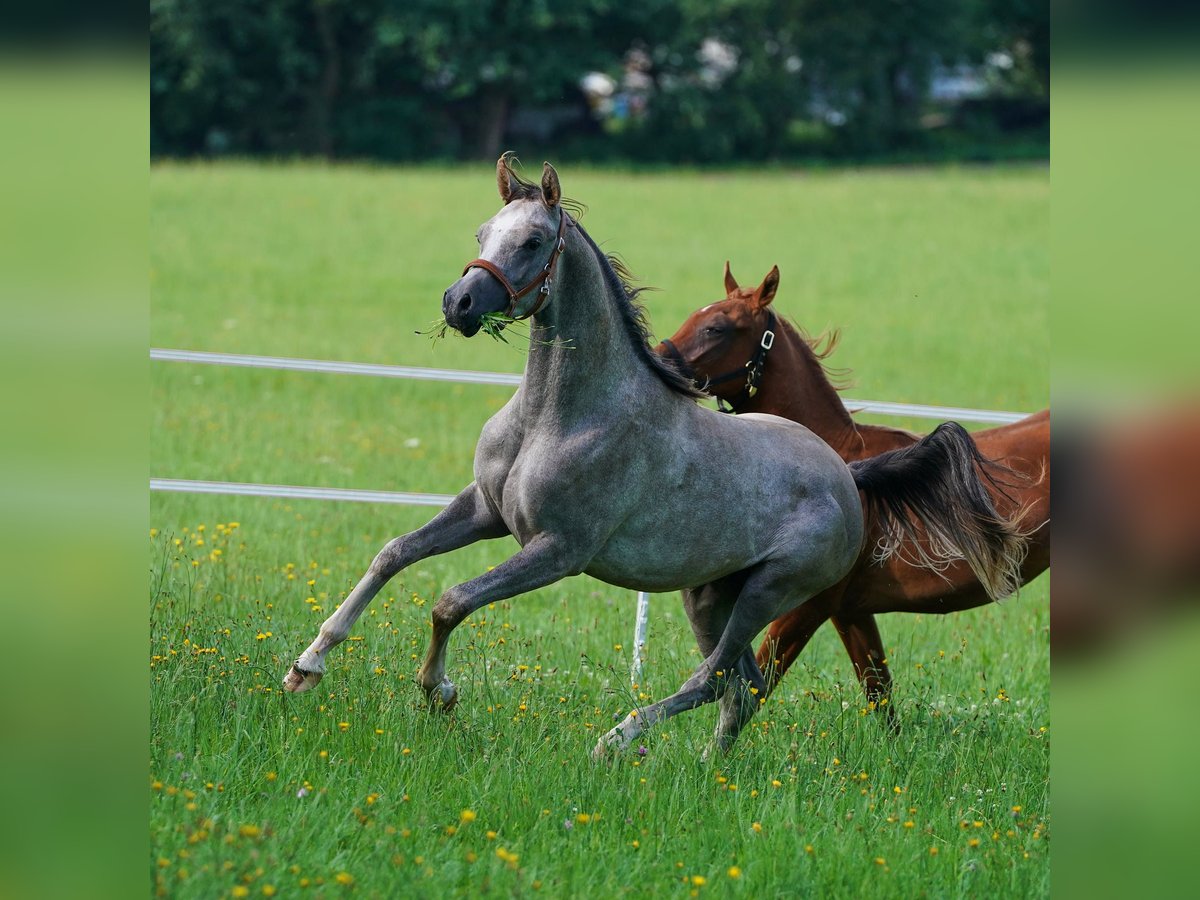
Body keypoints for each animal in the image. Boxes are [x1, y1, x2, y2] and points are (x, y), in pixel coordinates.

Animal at [657, 264, 1051, 724]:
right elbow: (880, 697)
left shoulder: (806, 607)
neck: (837, 463)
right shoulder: (852, 614)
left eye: (716, 327)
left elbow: (755, 683)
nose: (656, 359)